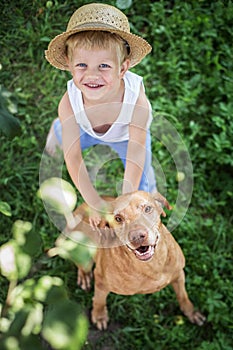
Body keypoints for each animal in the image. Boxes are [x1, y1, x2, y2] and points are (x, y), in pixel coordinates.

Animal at [70, 191, 205, 330]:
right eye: (118, 218)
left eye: (148, 209)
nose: (137, 236)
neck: (152, 264)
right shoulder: (101, 281)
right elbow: (99, 300)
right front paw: (99, 316)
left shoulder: (179, 275)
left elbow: (183, 296)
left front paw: (191, 312)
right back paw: (84, 276)